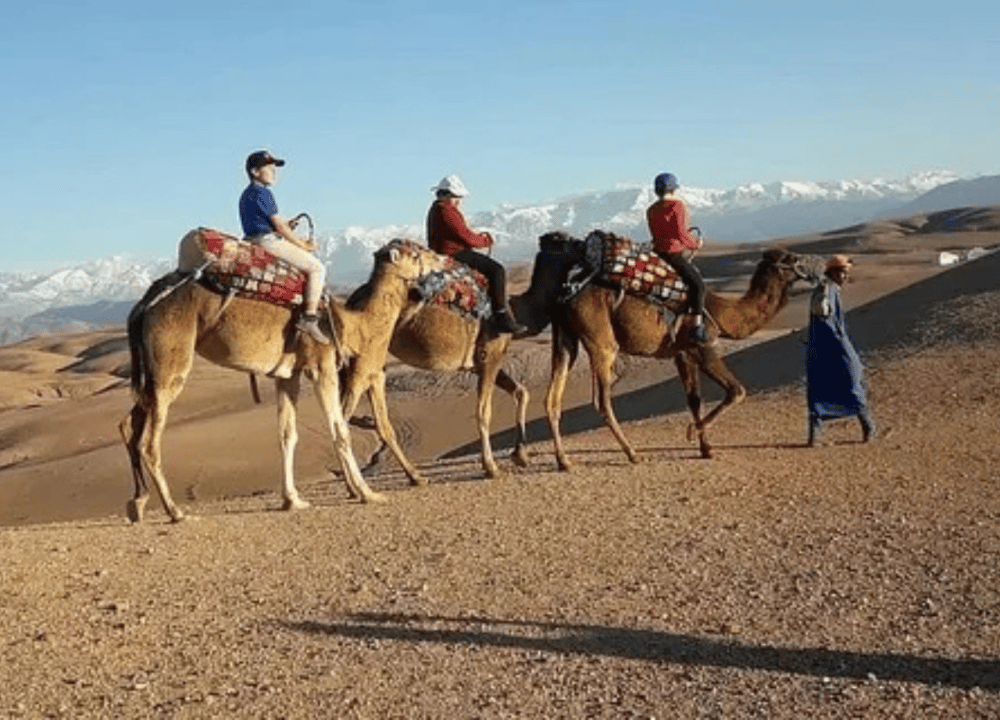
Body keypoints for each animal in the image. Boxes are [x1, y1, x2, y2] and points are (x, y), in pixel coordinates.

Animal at [120, 233, 442, 522]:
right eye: (417, 253)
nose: (440, 258)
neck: (351, 324)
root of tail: (144, 305)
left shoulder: (288, 374)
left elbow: (287, 434)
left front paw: (293, 500)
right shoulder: (322, 366)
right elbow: (340, 429)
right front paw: (368, 493)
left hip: (152, 370)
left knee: (129, 424)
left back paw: (138, 503)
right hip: (171, 360)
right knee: (150, 442)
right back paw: (175, 511)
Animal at [344, 235, 583, 481]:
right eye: (567, 241)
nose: (585, 245)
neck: (518, 312)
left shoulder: (479, 362)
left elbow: (521, 392)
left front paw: (520, 455)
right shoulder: (491, 354)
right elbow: (483, 411)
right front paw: (491, 467)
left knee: (378, 411)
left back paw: (413, 476)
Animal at [545, 232, 815, 469]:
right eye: (791, 259)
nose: (813, 267)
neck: (721, 312)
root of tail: (566, 294)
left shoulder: (682, 354)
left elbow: (694, 400)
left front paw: (706, 449)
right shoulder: (702, 345)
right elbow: (736, 391)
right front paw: (691, 433)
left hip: (565, 339)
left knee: (553, 397)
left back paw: (564, 461)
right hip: (601, 339)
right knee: (601, 400)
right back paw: (632, 453)